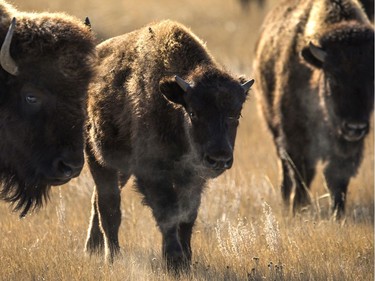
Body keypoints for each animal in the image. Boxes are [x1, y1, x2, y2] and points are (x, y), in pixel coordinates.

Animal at [85, 19, 254, 270]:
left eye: (236, 113)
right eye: (193, 112)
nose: (219, 159)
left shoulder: (193, 178)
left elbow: (187, 216)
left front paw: (186, 259)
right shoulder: (152, 173)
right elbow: (167, 212)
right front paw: (174, 261)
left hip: (121, 170)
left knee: (99, 201)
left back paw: (93, 248)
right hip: (97, 158)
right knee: (109, 206)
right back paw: (111, 256)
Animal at [254, 0, 374, 219]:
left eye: (373, 79)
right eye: (333, 77)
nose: (355, 127)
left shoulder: (346, 146)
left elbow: (337, 177)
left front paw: (338, 214)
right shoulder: (295, 136)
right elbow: (301, 172)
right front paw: (298, 208)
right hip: (273, 127)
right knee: (285, 166)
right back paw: (286, 198)